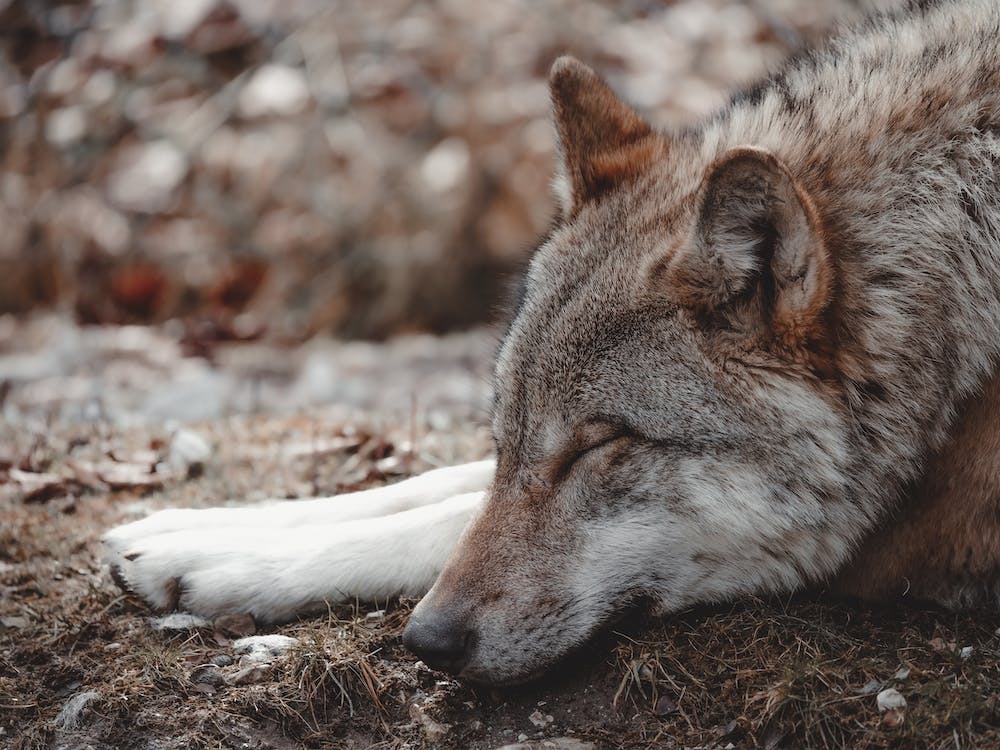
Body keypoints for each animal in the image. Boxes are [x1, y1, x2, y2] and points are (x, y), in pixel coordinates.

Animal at [104, 0, 1000, 686]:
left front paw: (234, 565)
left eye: (601, 445)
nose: (427, 643)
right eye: (507, 428)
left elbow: (440, 519)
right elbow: (444, 484)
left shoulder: (906, 537)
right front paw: (192, 534)